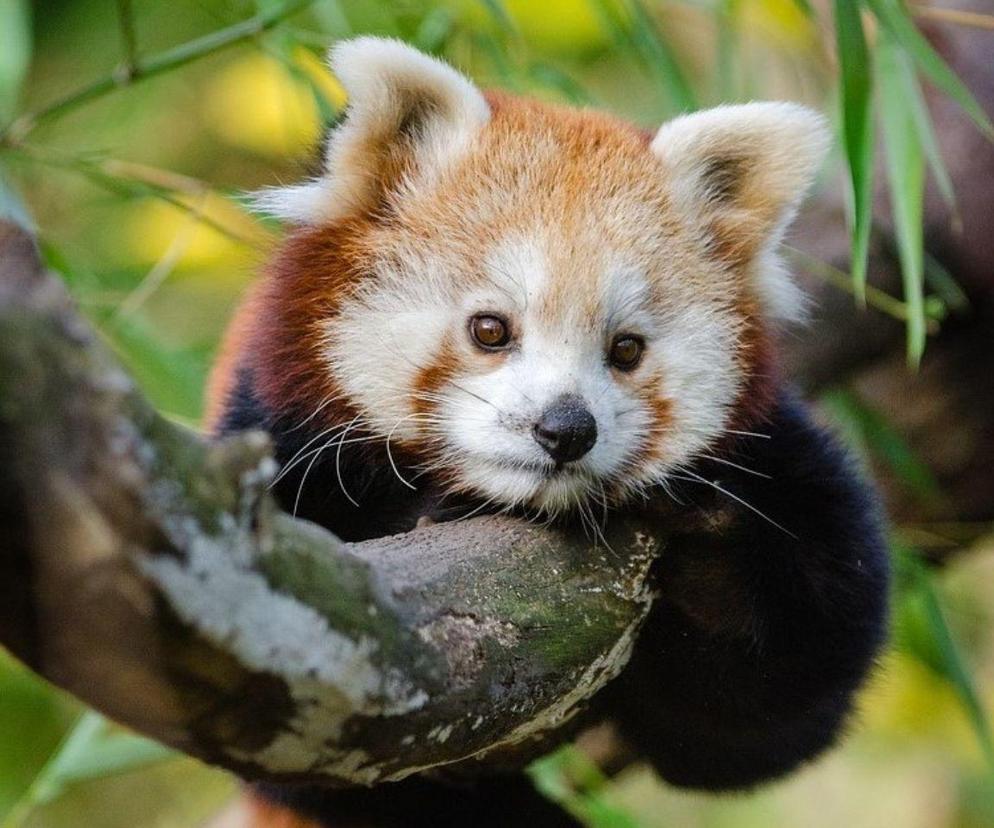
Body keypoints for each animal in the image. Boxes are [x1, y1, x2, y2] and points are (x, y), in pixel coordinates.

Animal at [207, 37, 884, 828]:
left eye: (626, 349)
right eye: (490, 329)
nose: (566, 428)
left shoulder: (780, 456)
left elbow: (767, 715)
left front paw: (713, 544)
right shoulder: (279, 437)